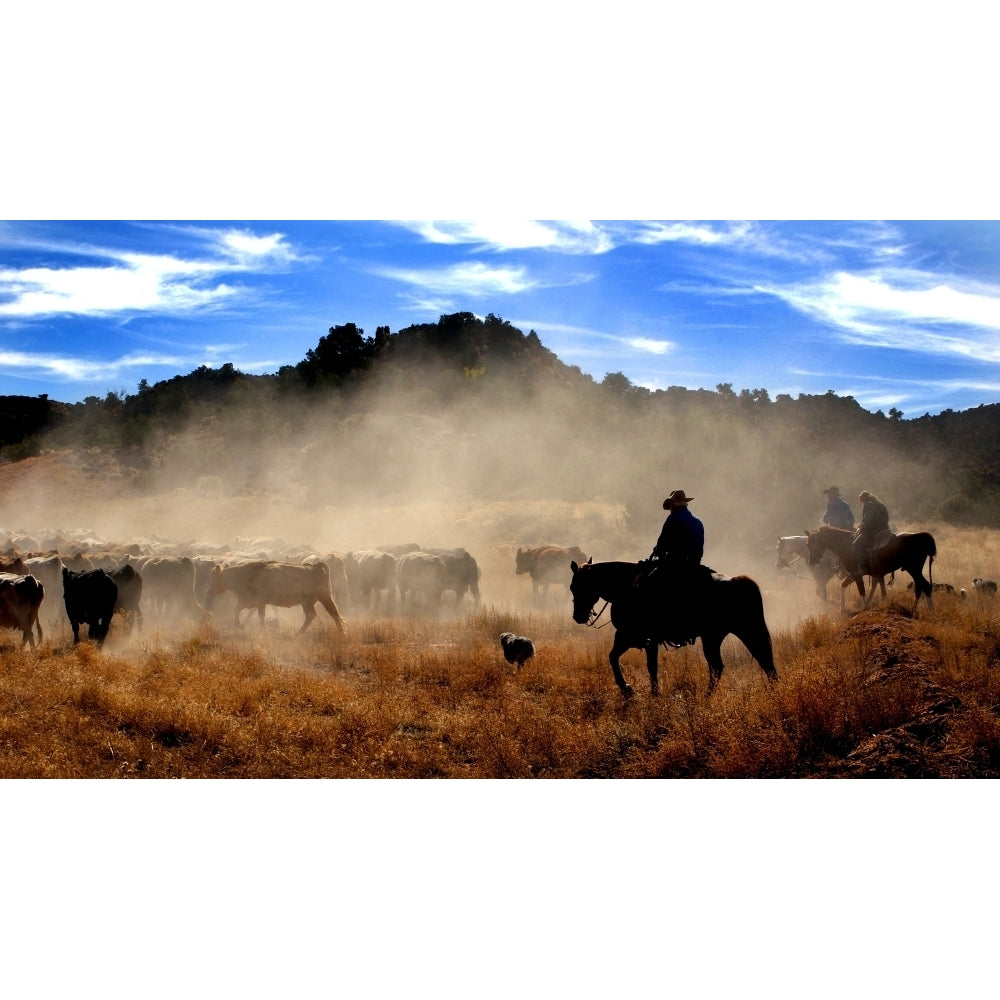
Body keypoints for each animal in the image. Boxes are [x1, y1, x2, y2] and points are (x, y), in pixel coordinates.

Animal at [572, 560, 772, 700]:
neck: (626, 588)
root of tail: (737, 581)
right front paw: (635, 691)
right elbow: (617, 658)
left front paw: (633, 690)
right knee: (759, 661)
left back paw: (706, 697)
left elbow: (643, 664)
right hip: (729, 634)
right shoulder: (630, 638)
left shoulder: (635, 637)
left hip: (723, 636)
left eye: (576, 587)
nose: (578, 616)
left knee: (726, 665)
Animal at [804, 524, 936, 608]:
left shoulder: (857, 574)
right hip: (915, 570)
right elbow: (878, 589)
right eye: (807, 544)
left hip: (913, 568)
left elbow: (857, 589)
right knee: (920, 587)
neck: (847, 546)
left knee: (925, 586)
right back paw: (915, 609)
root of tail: (921, 536)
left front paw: (856, 608)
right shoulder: (876, 574)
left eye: (811, 544)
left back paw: (930, 610)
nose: (811, 562)